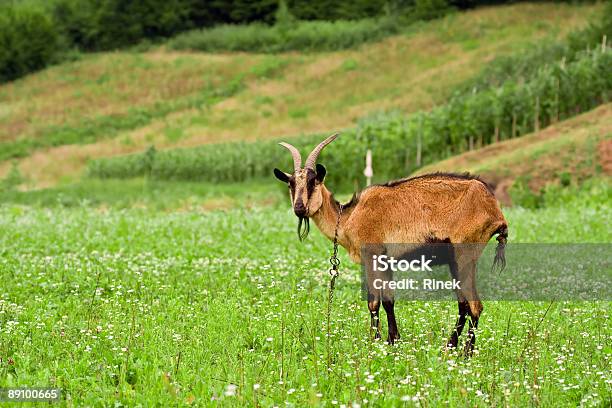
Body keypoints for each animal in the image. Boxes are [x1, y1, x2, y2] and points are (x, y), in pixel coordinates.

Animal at [274, 134, 510, 354]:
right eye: (291, 183)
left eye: (313, 181)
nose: (299, 208)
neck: (349, 216)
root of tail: (495, 210)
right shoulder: (386, 261)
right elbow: (389, 300)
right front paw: (392, 340)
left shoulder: (372, 256)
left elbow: (374, 301)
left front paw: (376, 341)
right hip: (455, 260)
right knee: (463, 305)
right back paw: (450, 347)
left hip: (464, 254)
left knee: (475, 305)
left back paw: (466, 353)